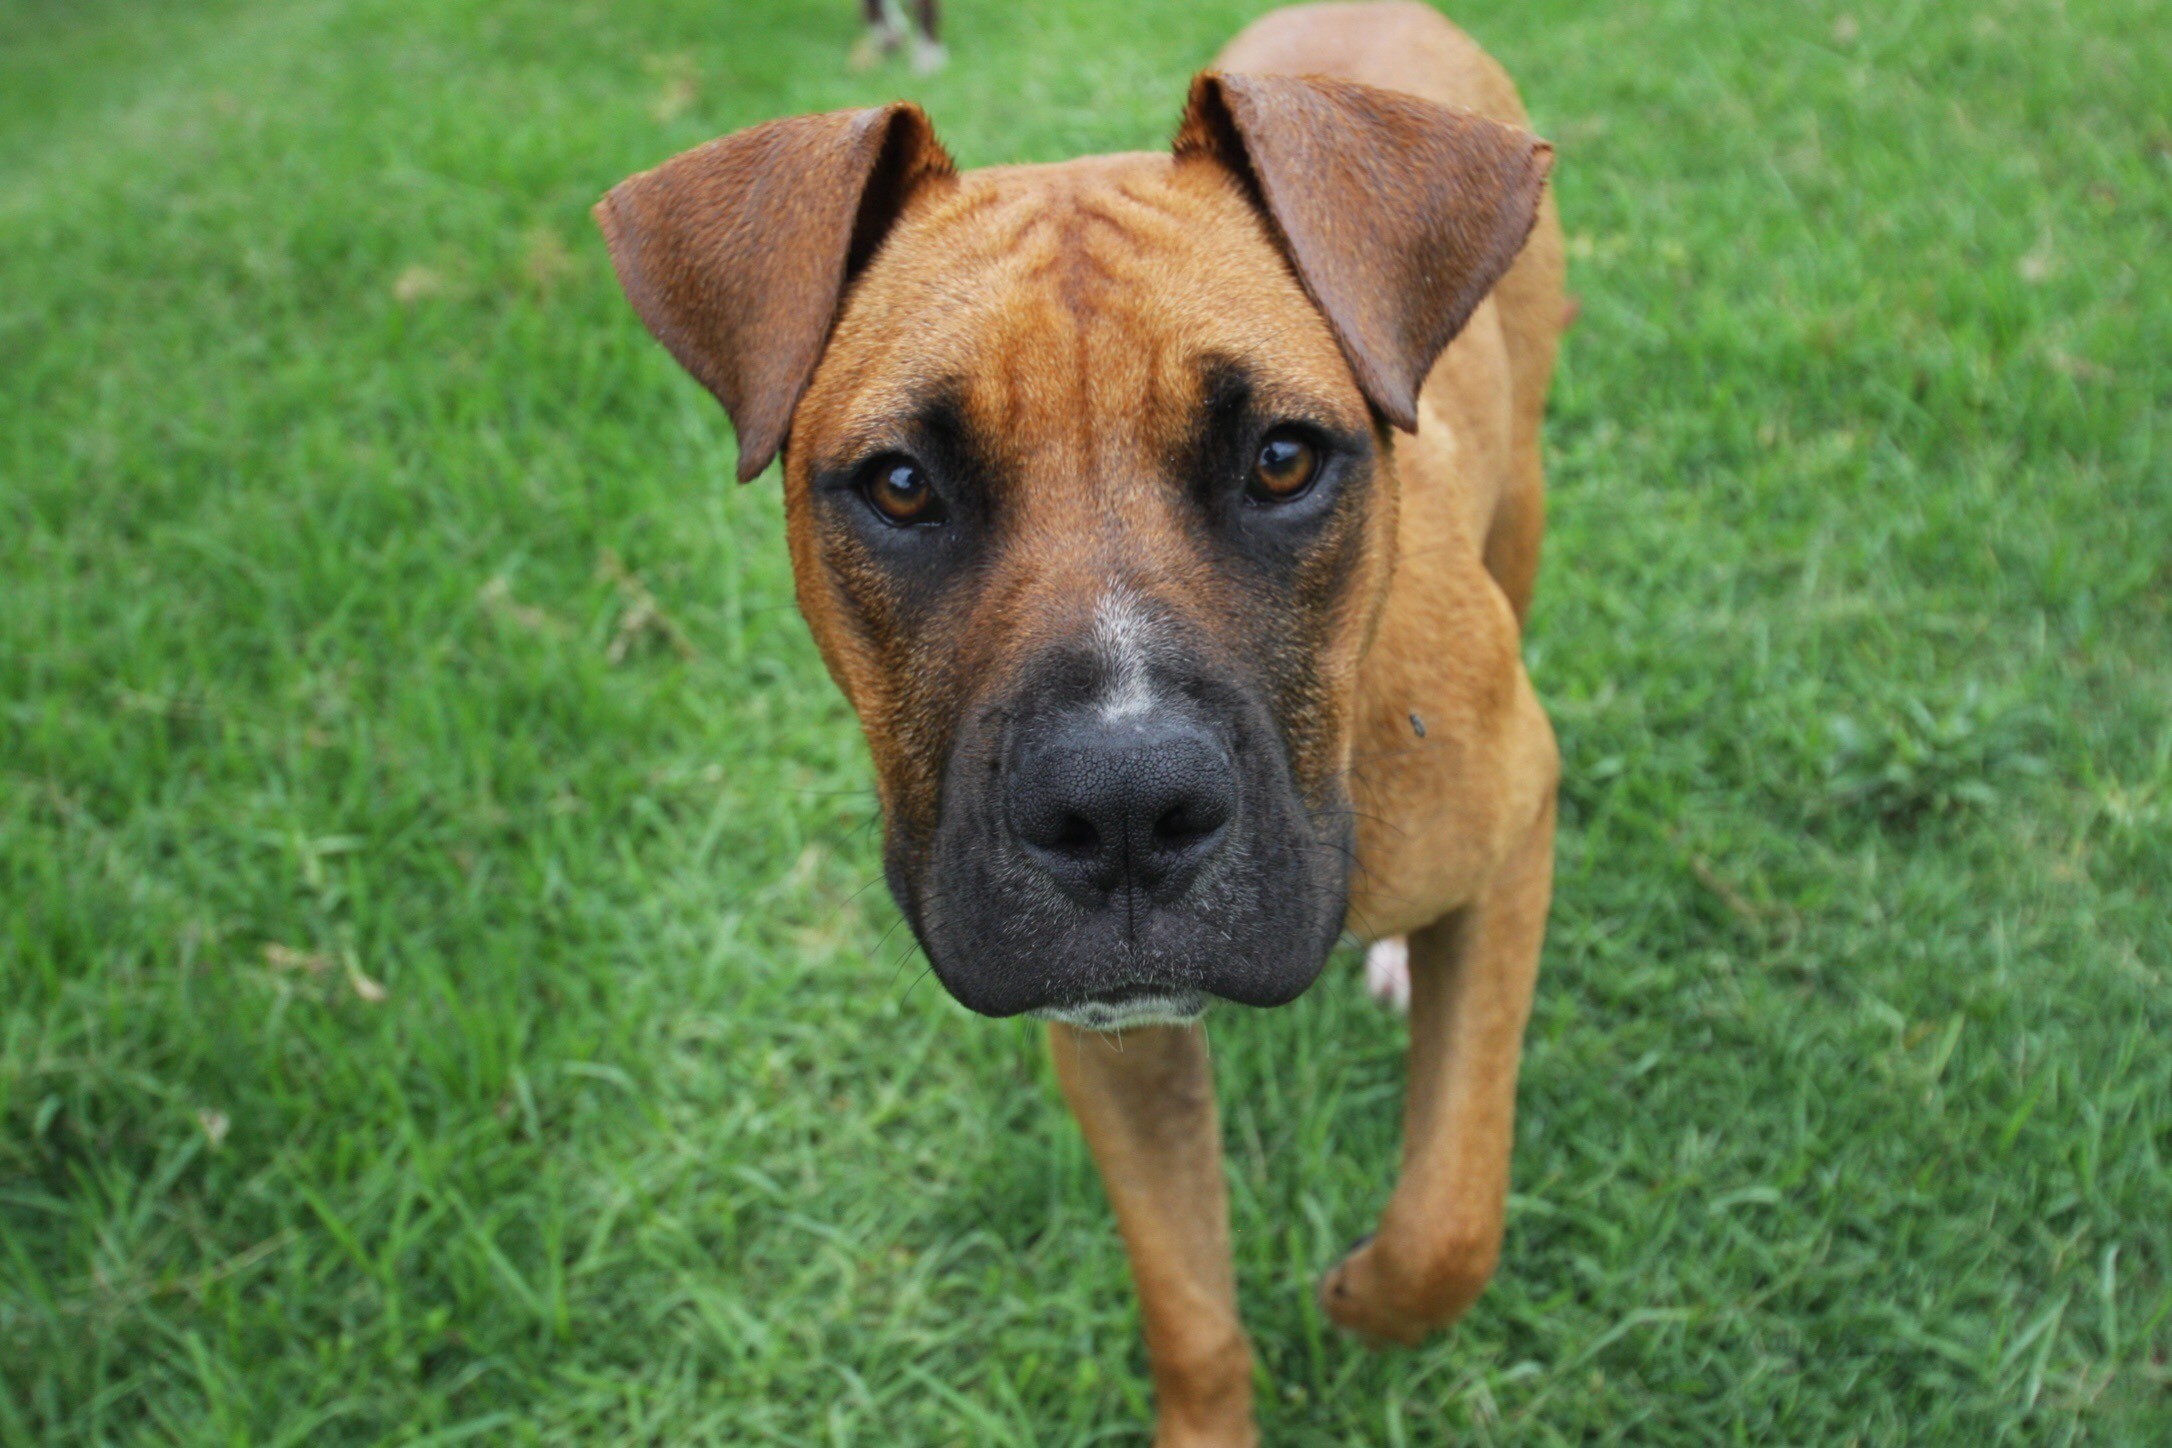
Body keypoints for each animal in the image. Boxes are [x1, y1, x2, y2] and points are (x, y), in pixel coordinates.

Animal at [595, 2, 1572, 1441]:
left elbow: (1451, 1216)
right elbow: (1190, 1309)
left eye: (1283, 458)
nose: (1122, 807)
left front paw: (1358, 1298)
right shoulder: (1115, 1040)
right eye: (899, 483)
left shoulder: (1512, 846)